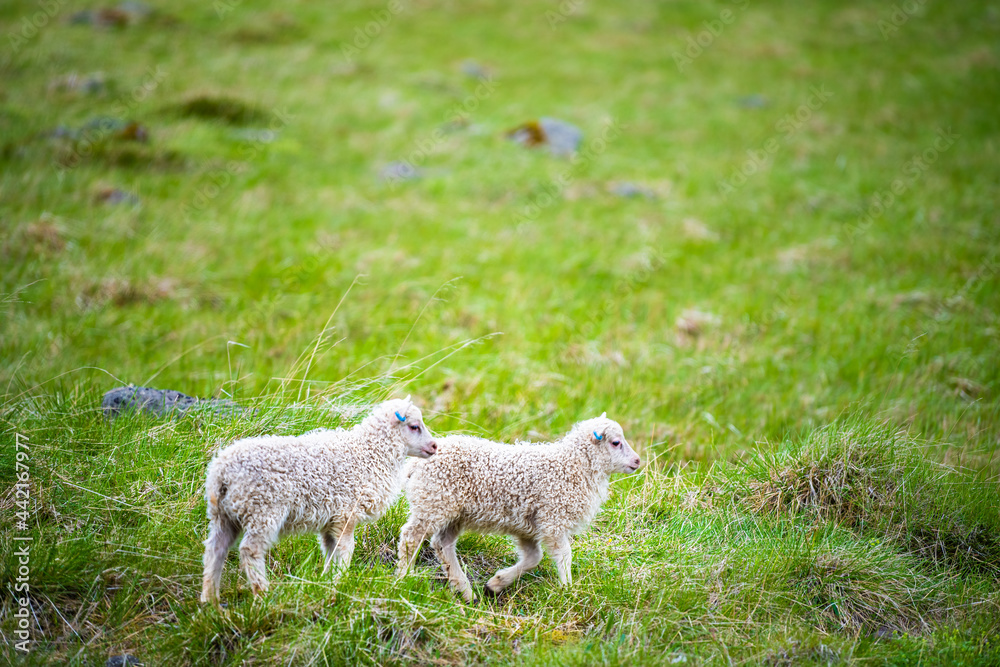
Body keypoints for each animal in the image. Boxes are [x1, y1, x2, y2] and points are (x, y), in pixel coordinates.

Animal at [201, 397, 437, 604]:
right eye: (414, 426)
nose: (434, 446)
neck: (370, 454)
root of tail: (221, 472)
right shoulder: (346, 514)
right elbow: (347, 549)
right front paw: (341, 581)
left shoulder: (330, 520)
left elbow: (330, 551)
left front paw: (327, 582)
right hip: (263, 509)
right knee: (250, 550)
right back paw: (262, 595)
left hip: (223, 514)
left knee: (215, 549)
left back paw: (210, 601)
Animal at [396, 413, 640, 602]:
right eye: (616, 442)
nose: (637, 461)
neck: (573, 466)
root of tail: (414, 465)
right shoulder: (553, 519)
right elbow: (563, 555)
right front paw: (568, 589)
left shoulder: (527, 527)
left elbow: (534, 558)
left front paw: (495, 584)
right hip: (434, 502)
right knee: (411, 536)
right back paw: (403, 577)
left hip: (453, 512)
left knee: (442, 544)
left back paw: (467, 592)